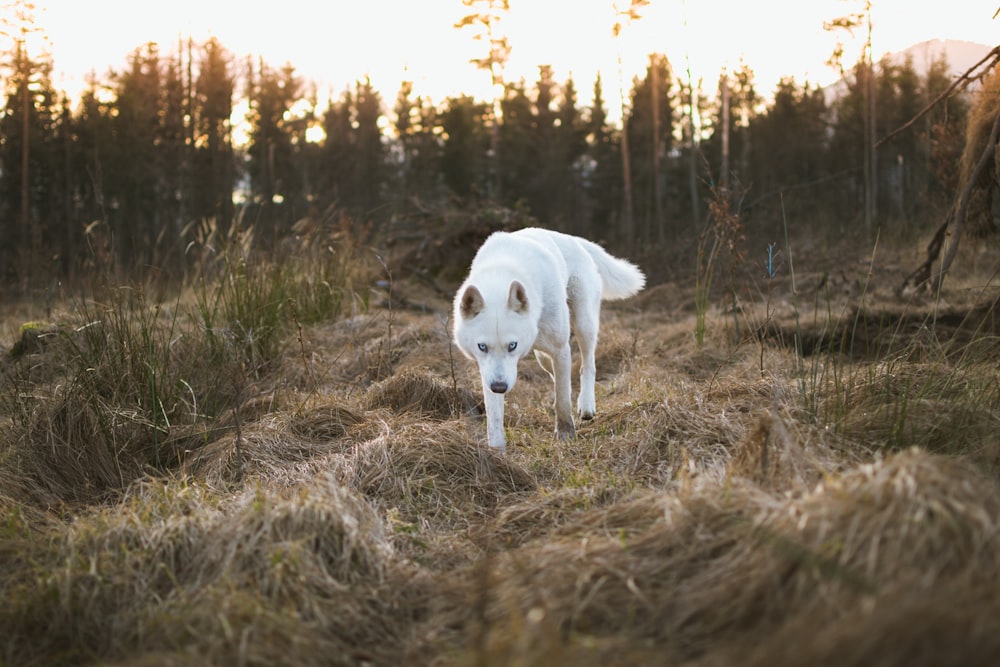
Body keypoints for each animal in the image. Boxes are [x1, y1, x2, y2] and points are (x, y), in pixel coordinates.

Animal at [452, 227, 644, 452]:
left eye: (512, 346)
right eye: (482, 347)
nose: (500, 387)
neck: (501, 272)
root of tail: (574, 239)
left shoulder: (560, 349)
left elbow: (562, 401)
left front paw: (566, 435)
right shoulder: (489, 372)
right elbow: (494, 418)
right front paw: (497, 452)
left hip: (584, 325)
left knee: (587, 365)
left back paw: (586, 405)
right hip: (541, 356)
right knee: (556, 373)